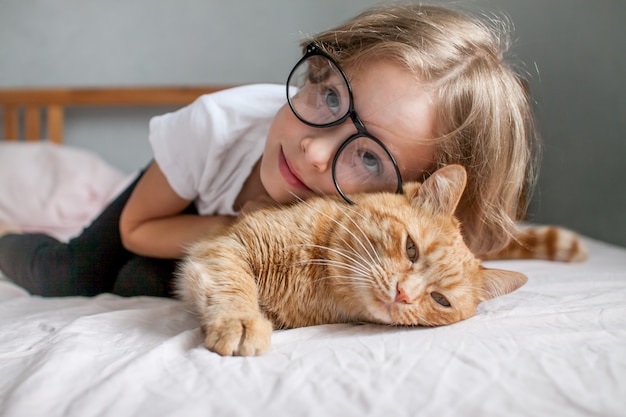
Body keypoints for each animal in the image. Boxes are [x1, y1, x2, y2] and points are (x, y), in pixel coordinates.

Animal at [177, 165, 584, 354]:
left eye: (440, 299)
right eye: (411, 249)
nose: (403, 294)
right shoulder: (229, 245)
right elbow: (234, 285)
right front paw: (241, 321)